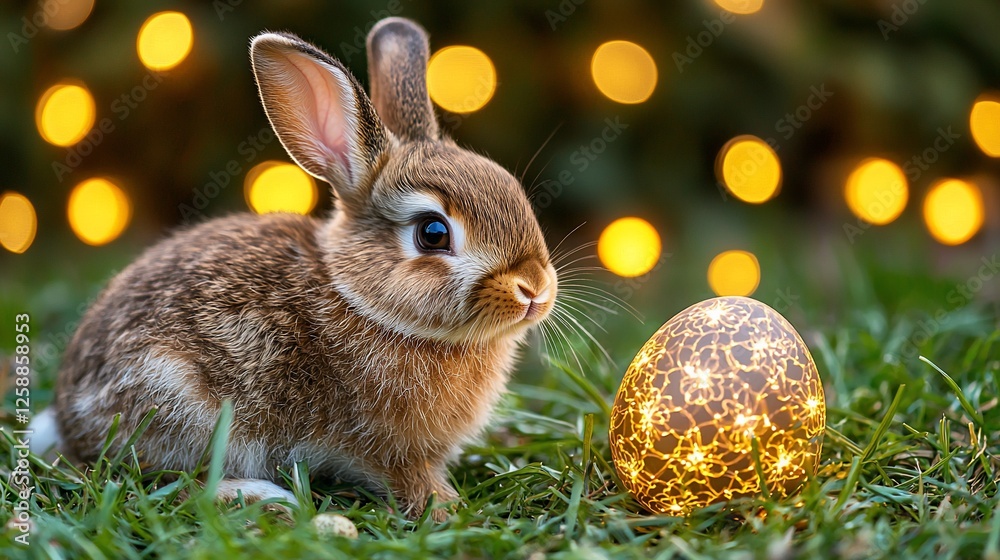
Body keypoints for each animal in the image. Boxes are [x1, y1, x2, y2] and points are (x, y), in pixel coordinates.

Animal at [32, 17, 558, 521]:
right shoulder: (383, 451)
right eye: (433, 233)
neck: (362, 300)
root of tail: (69, 421)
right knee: (152, 482)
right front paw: (448, 508)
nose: (534, 290)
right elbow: (408, 480)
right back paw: (262, 497)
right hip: (181, 403)